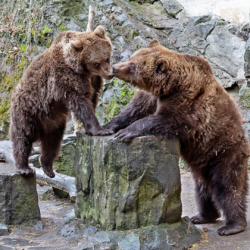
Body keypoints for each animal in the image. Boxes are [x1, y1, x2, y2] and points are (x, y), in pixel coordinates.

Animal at [10, 24, 114, 178]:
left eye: (107, 57)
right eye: (96, 62)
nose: (110, 74)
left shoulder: (94, 81)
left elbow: (92, 99)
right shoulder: (66, 79)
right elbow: (82, 104)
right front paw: (101, 130)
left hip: (53, 122)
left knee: (52, 142)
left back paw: (48, 168)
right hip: (27, 111)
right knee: (22, 138)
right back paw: (24, 167)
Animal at [104, 39, 250, 236]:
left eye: (133, 65)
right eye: (131, 58)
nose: (114, 67)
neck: (172, 86)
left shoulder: (190, 102)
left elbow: (170, 120)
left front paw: (127, 132)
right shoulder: (152, 96)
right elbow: (134, 110)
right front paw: (107, 127)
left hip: (225, 151)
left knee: (227, 186)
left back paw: (232, 225)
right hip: (203, 163)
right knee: (202, 190)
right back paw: (202, 216)